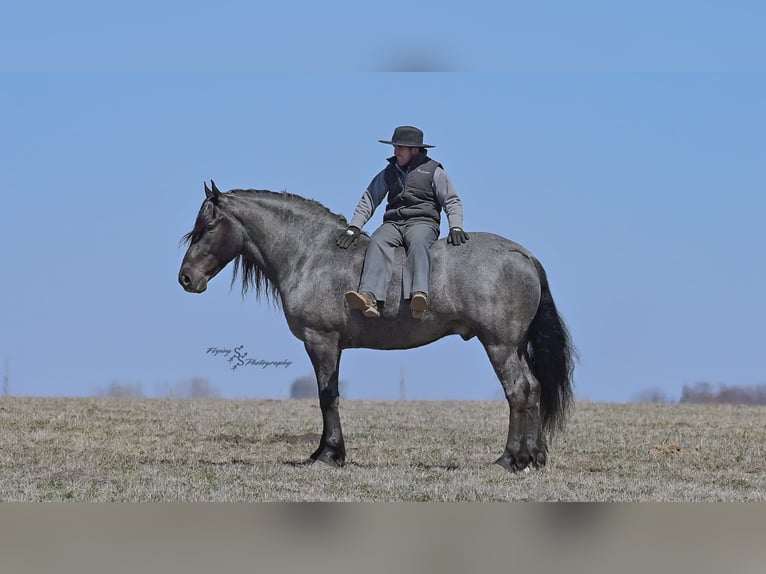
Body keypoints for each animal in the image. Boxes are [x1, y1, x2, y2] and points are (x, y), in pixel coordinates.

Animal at [178, 181, 575, 472]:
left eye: (207, 227)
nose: (186, 278)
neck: (311, 255)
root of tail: (524, 255)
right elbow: (328, 395)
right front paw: (323, 452)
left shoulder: (320, 341)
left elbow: (327, 396)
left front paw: (329, 455)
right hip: (515, 346)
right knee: (534, 389)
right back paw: (533, 457)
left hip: (499, 346)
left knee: (519, 391)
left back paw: (509, 459)